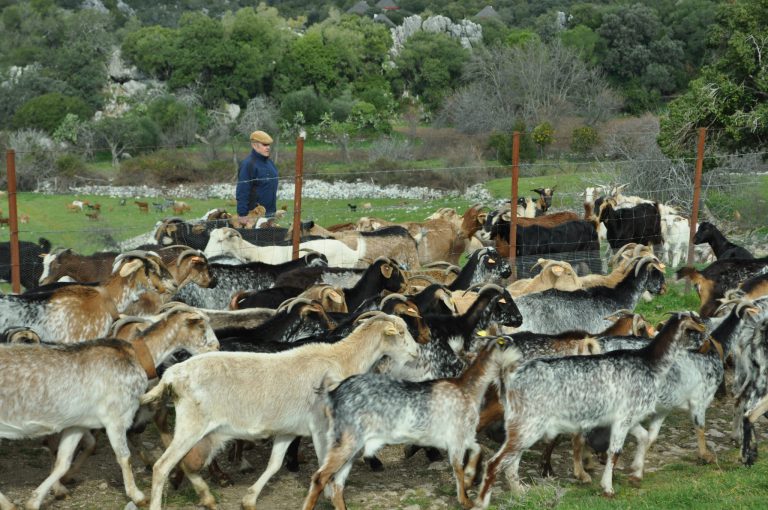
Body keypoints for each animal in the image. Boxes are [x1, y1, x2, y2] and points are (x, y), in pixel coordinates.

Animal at [0, 306, 219, 510]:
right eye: (202, 326)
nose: (217, 347)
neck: (136, 357)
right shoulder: (116, 418)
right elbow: (124, 457)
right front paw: (138, 496)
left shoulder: (77, 423)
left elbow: (62, 463)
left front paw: (35, 500)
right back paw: (8, 504)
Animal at [144, 314, 420, 510]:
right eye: (402, 332)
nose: (417, 351)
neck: (340, 358)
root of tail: (171, 375)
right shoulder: (321, 427)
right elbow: (323, 465)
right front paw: (329, 495)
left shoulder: (288, 430)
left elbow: (275, 464)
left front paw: (249, 500)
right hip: (191, 425)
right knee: (162, 466)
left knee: (186, 464)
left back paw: (207, 497)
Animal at [304, 336, 524, 508]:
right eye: (513, 347)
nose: (524, 364)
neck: (467, 389)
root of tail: (333, 395)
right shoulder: (456, 438)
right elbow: (457, 468)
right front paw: (465, 498)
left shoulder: (463, 436)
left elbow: (477, 450)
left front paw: (471, 477)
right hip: (347, 441)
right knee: (320, 478)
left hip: (351, 446)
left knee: (337, 485)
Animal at [474, 310, 708, 506]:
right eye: (695, 330)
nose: (705, 344)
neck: (649, 362)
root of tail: (509, 376)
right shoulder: (623, 417)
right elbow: (615, 452)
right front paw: (608, 488)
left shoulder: (627, 418)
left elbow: (644, 438)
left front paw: (636, 474)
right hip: (527, 424)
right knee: (495, 462)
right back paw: (482, 500)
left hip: (523, 427)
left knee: (511, 461)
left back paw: (520, 492)